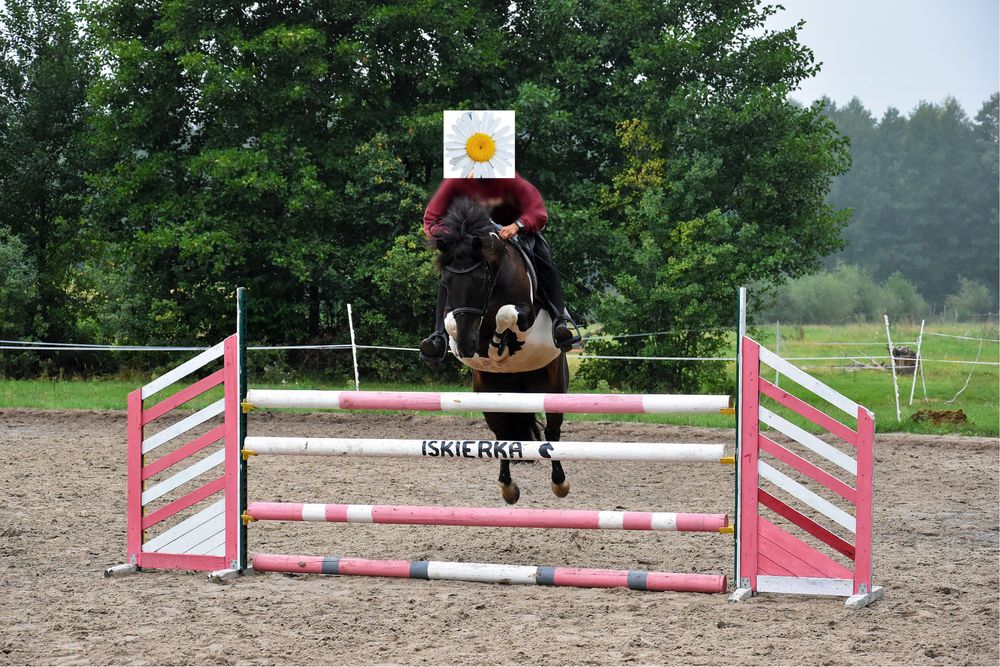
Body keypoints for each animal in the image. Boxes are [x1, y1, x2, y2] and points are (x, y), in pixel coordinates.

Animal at [432, 198, 572, 506]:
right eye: (446, 282)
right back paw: (508, 487)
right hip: (490, 394)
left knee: (552, 433)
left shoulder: (525, 313)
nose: (468, 345)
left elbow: (506, 314)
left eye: (481, 281)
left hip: (552, 387)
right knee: (502, 436)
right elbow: (451, 322)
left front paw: (499, 342)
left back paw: (560, 483)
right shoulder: (453, 314)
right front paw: (480, 347)